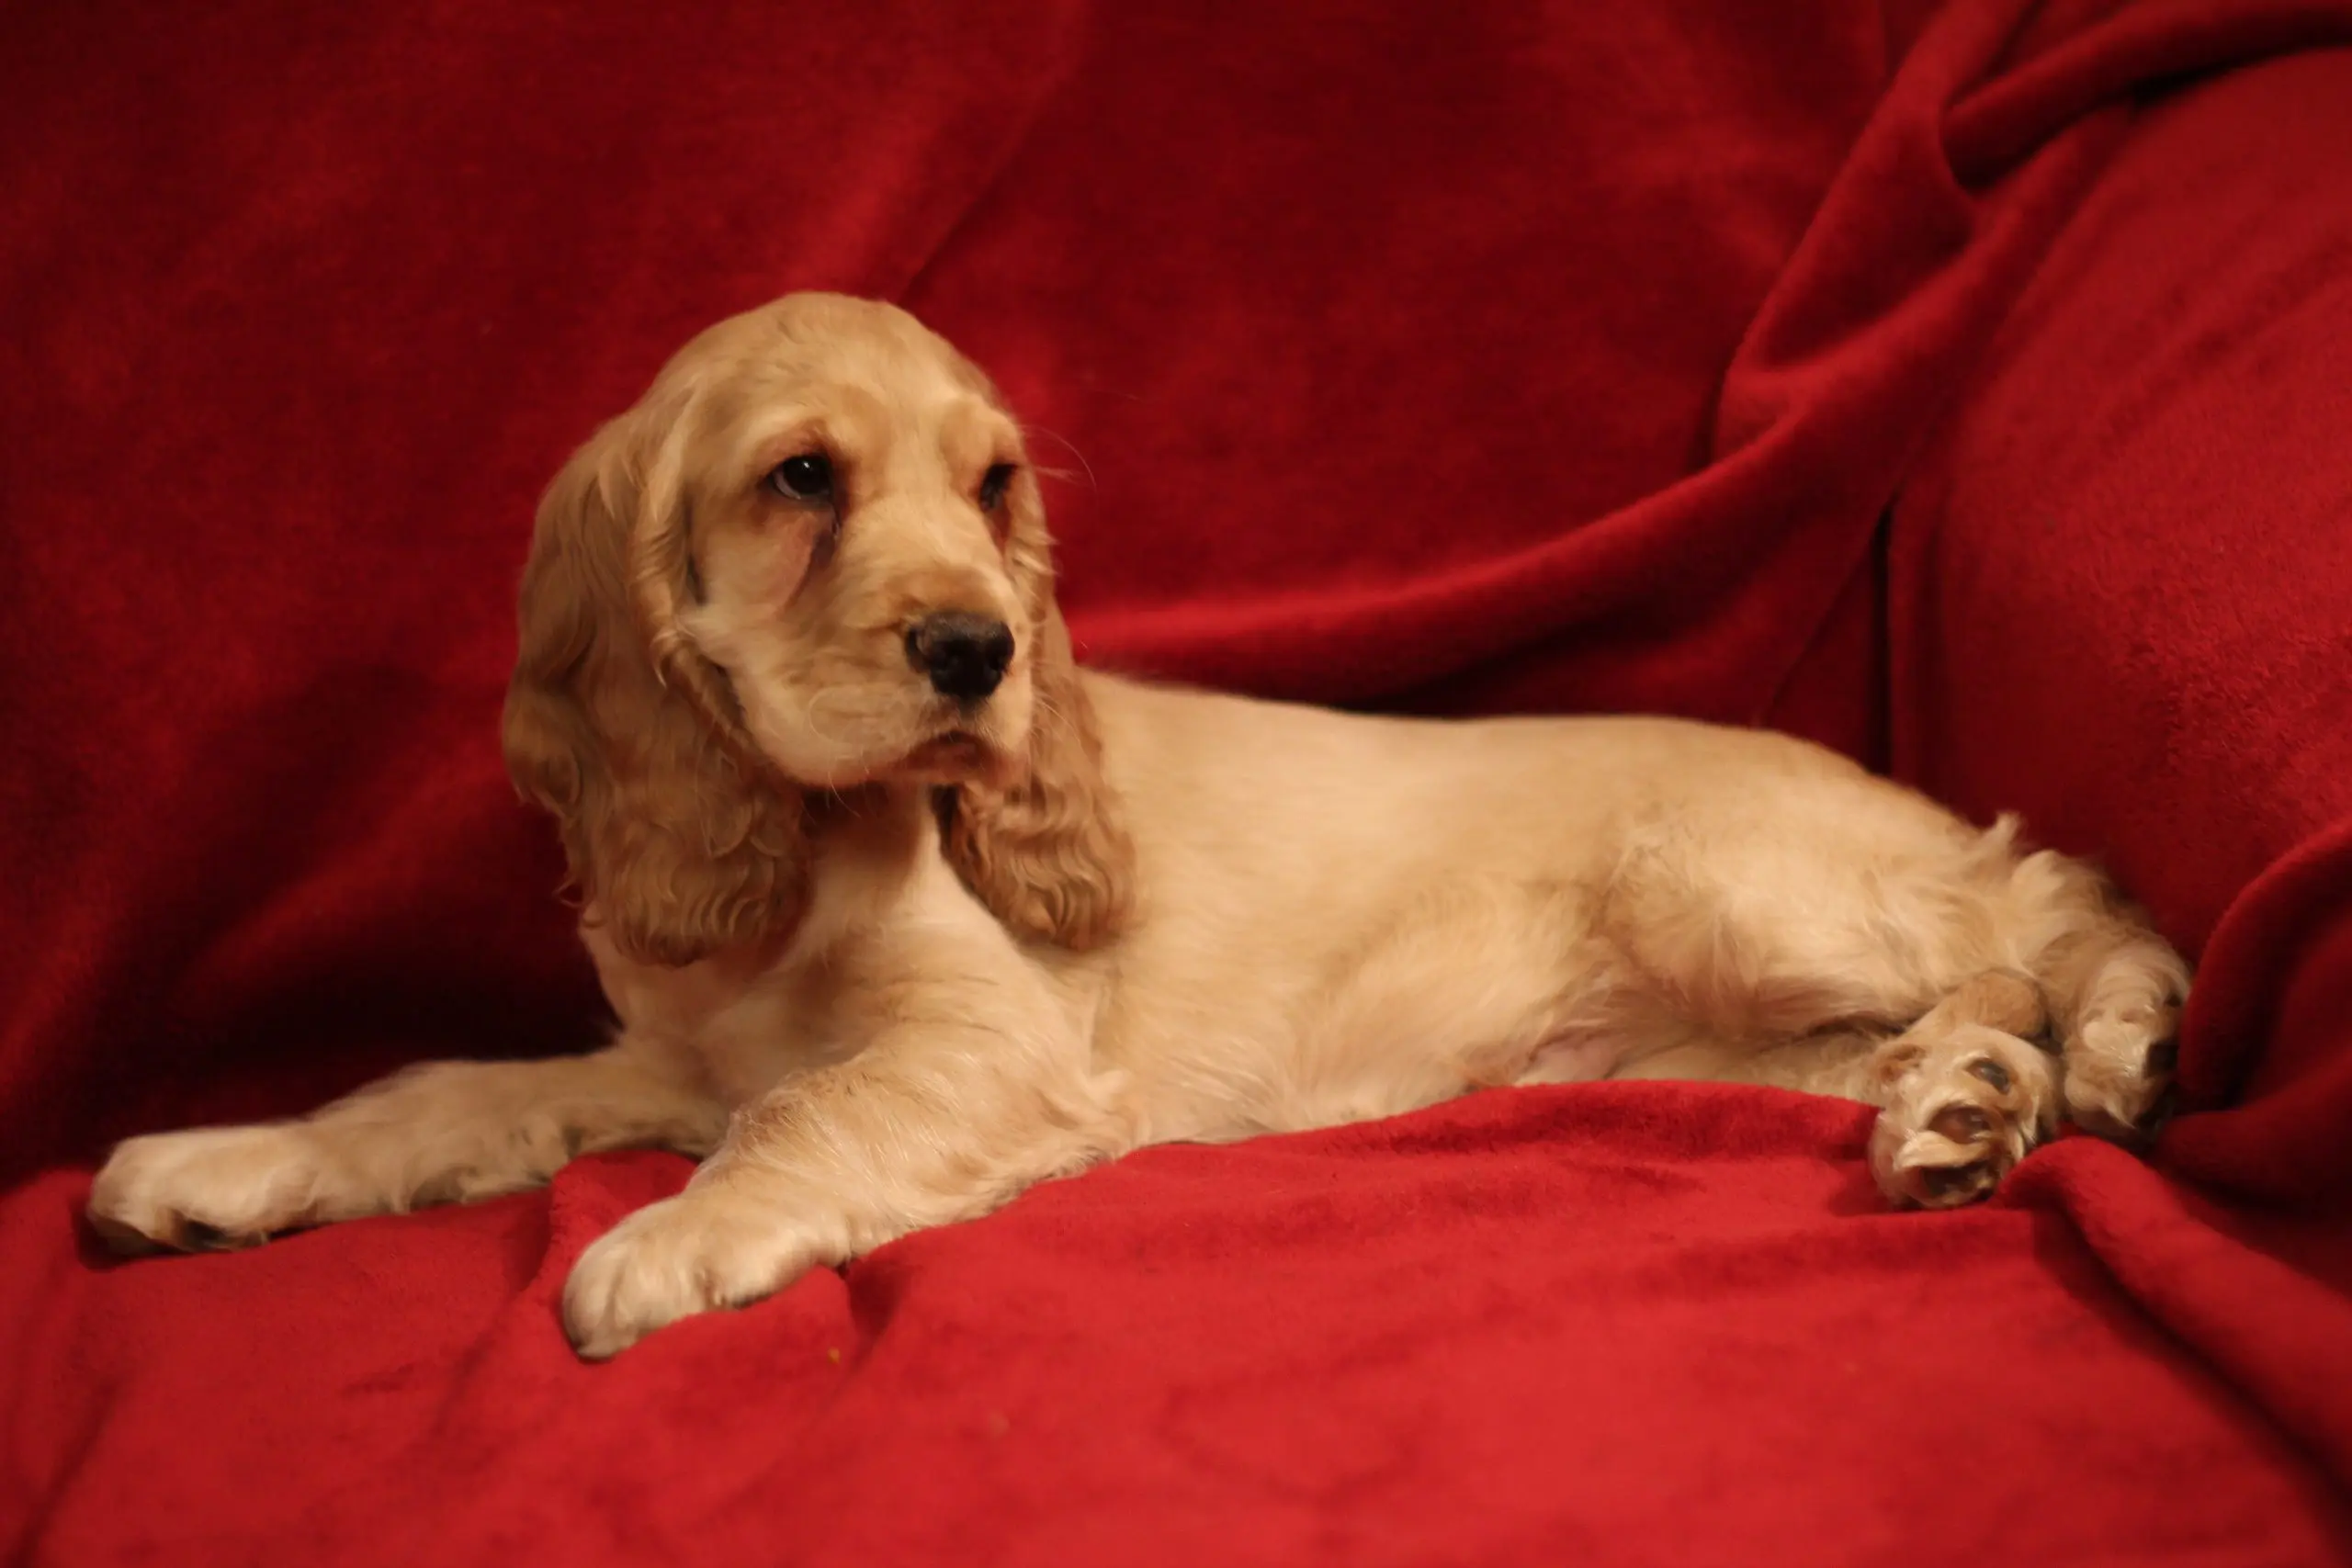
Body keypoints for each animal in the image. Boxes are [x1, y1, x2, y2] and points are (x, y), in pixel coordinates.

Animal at [86, 293, 2182, 1363]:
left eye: (992, 484)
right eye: (800, 479)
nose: (978, 649)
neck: (808, 846)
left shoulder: (987, 1044)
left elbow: (809, 1113)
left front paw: (674, 1241)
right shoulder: (665, 1052)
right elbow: (442, 1088)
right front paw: (235, 1158)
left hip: (1733, 884)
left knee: (2046, 904)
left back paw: (2098, 1048)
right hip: (1686, 1044)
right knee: (1926, 1015)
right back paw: (1956, 1112)